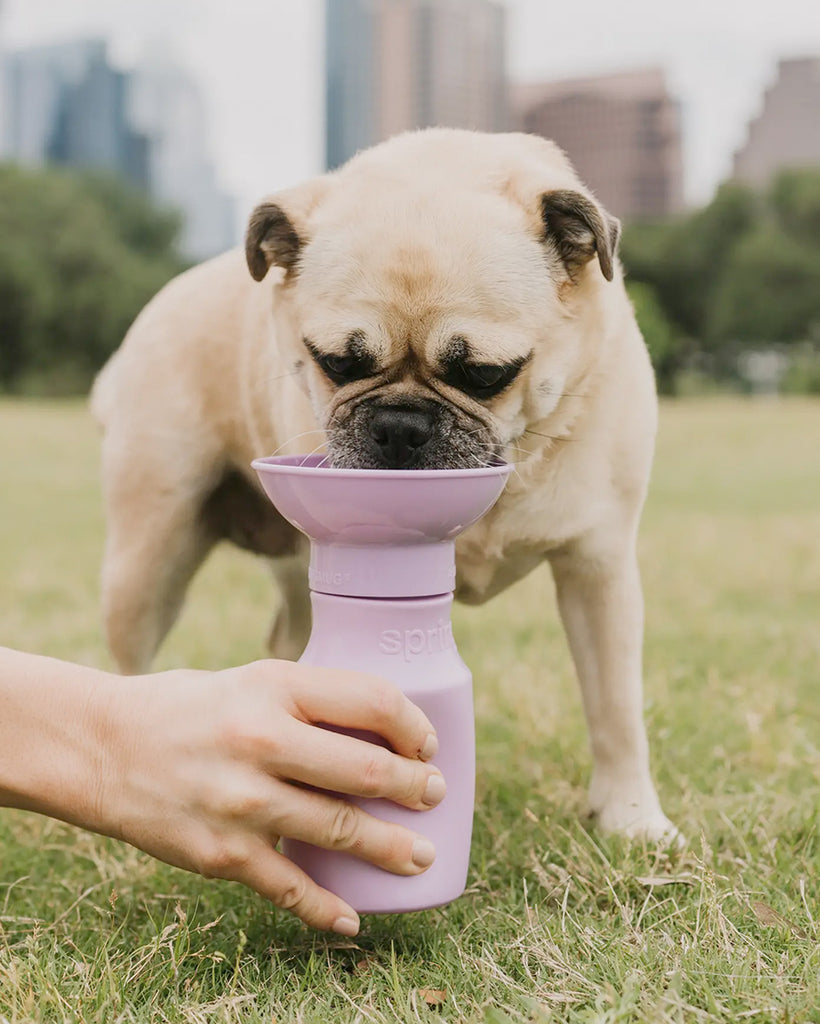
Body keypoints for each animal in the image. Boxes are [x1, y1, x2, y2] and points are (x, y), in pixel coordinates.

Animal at [92, 128, 675, 839]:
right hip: (148, 560)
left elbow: (615, 706)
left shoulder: (598, 566)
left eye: (486, 375)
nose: (400, 424)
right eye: (337, 364)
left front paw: (632, 819)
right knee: (131, 664)